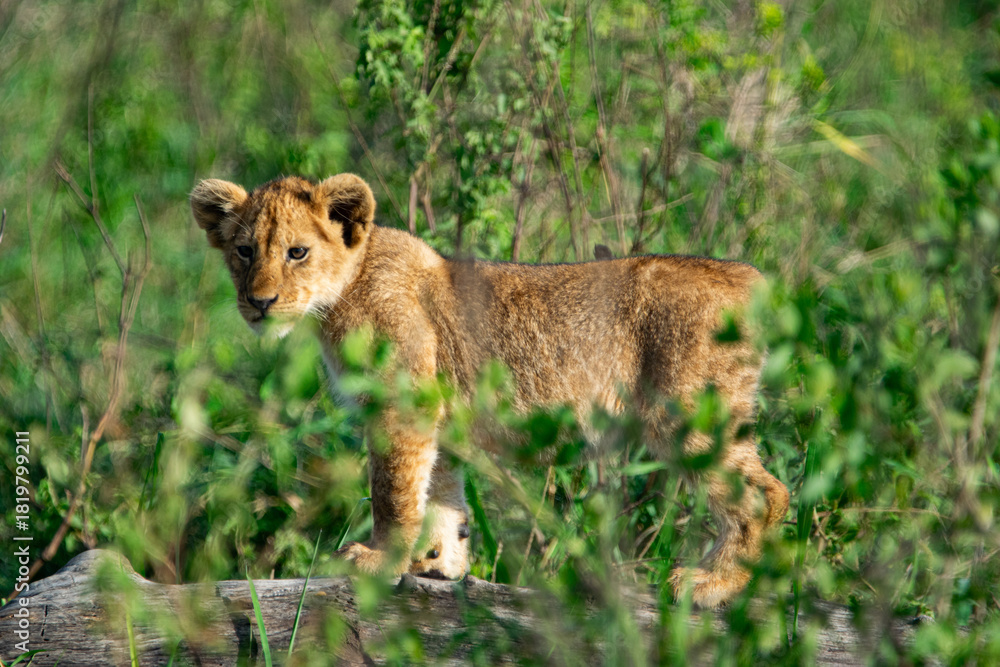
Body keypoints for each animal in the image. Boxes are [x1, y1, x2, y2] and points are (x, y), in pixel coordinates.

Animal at [190, 173, 789, 607]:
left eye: (296, 253)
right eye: (244, 251)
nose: (259, 302)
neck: (341, 295)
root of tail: (750, 277)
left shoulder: (403, 405)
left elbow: (393, 493)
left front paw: (380, 560)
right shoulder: (436, 413)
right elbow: (440, 493)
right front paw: (438, 563)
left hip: (688, 415)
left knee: (767, 494)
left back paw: (709, 584)